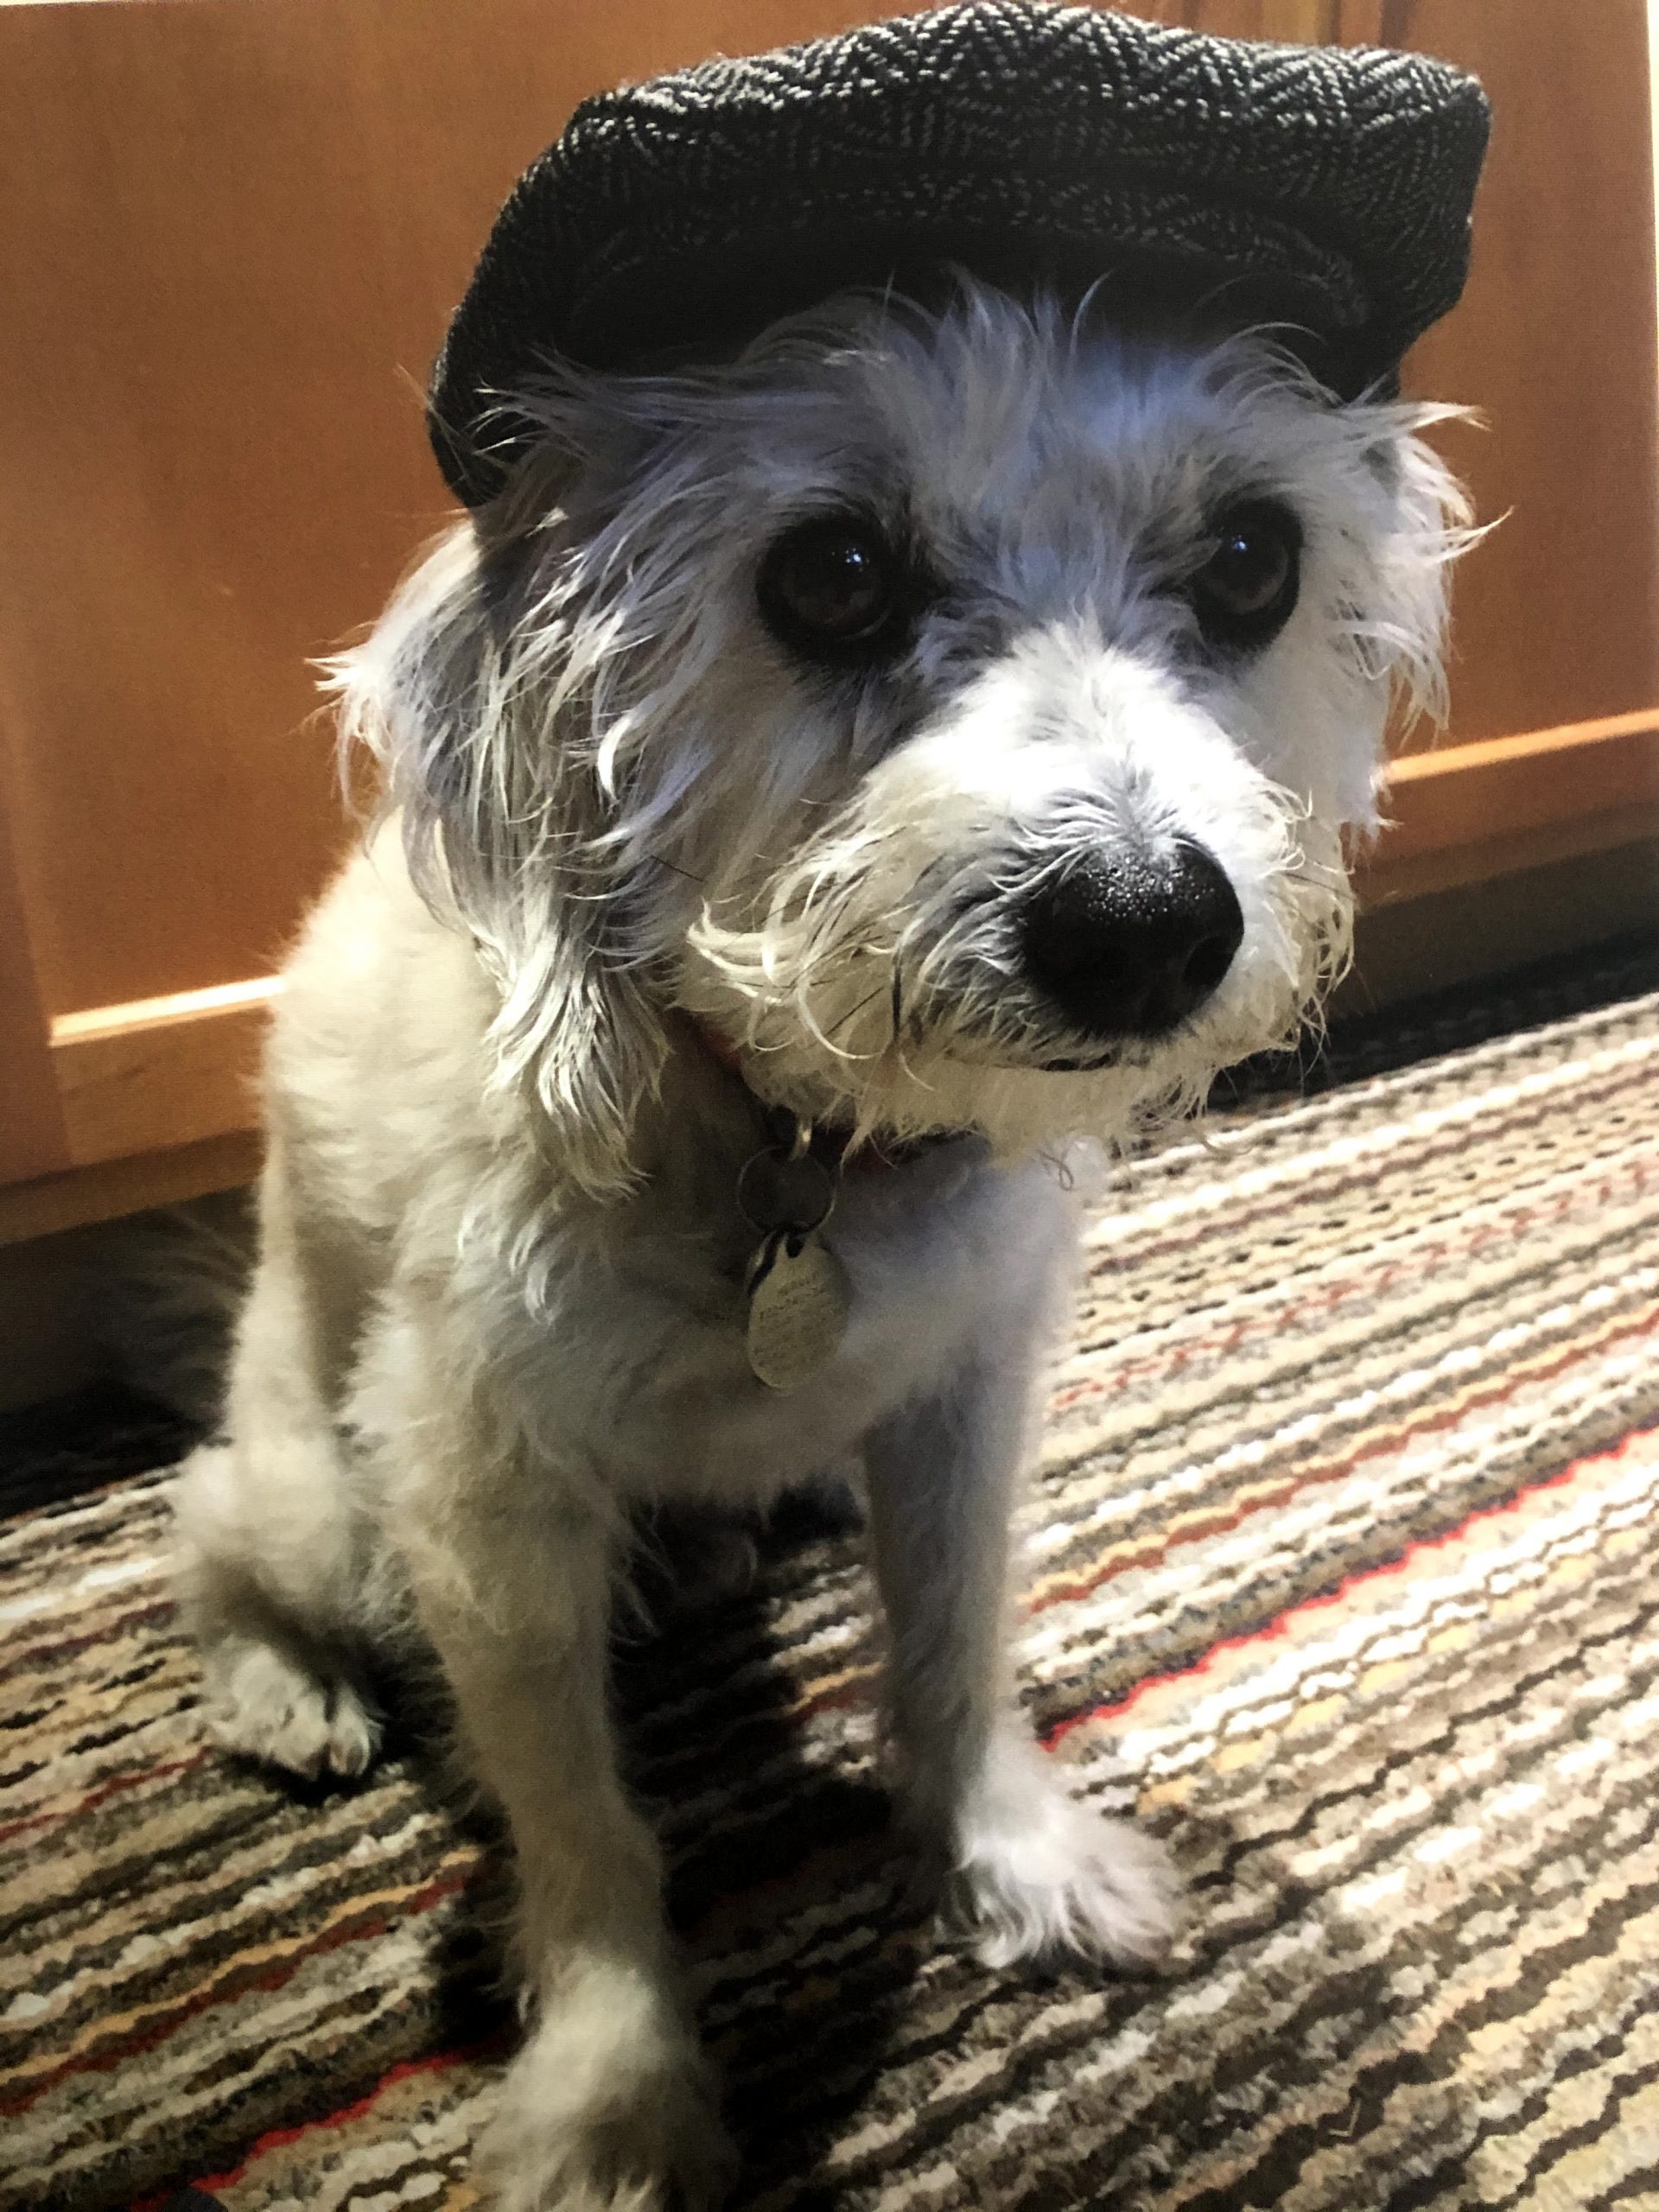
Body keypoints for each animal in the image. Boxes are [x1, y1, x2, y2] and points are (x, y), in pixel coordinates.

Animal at [175, 285, 1478, 2202]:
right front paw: (613, 2089)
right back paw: (288, 1685)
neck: (791, 1149)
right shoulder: (477, 1502)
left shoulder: (961, 1397)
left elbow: (952, 1642)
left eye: (1253, 558)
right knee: (211, 1526)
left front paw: (1006, 1854)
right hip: (324, 1500)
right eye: (834, 571)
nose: (1145, 927)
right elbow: (582, 1827)